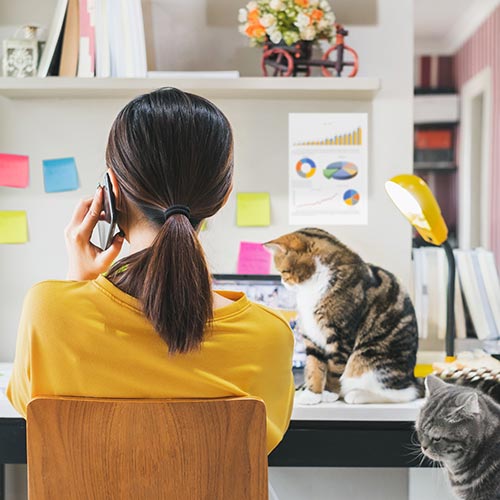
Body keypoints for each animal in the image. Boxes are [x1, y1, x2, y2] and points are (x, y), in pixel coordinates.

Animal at [266, 229, 422, 404]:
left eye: (284, 271)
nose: (282, 281)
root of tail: (412, 376)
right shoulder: (312, 335)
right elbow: (314, 365)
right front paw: (312, 394)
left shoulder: (340, 334)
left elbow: (335, 367)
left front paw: (329, 393)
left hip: (369, 359)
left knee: (404, 393)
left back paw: (357, 394)